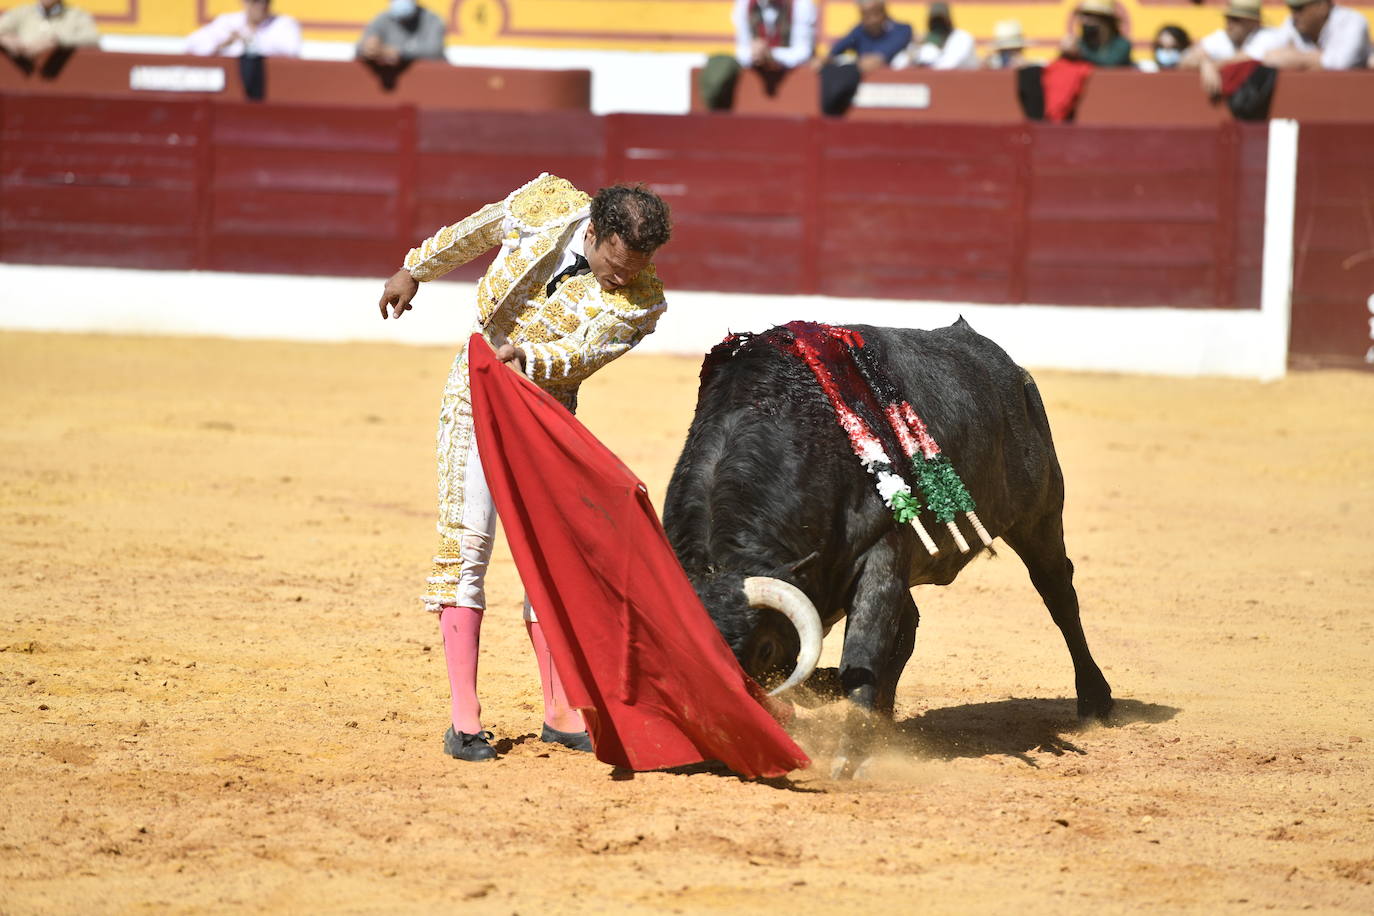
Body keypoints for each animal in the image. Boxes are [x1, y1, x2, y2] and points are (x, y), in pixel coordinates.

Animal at [662, 322, 1115, 769]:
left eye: (764, 647)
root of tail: (1010, 367)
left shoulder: (880, 555)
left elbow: (861, 649)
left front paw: (848, 757)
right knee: (909, 627)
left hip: (1039, 515)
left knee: (1057, 593)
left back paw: (1095, 701)